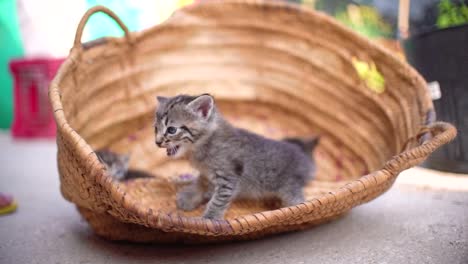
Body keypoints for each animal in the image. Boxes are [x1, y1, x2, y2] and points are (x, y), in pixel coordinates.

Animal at [154, 94, 318, 219]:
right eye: (155, 128)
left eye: (171, 130)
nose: (157, 142)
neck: (203, 145)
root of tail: (302, 154)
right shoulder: (206, 172)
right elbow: (201, 181)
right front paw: (190, 196)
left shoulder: (229, 177)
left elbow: (218, 201)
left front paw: (209, 219)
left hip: (289, 186)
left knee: (298, 200)